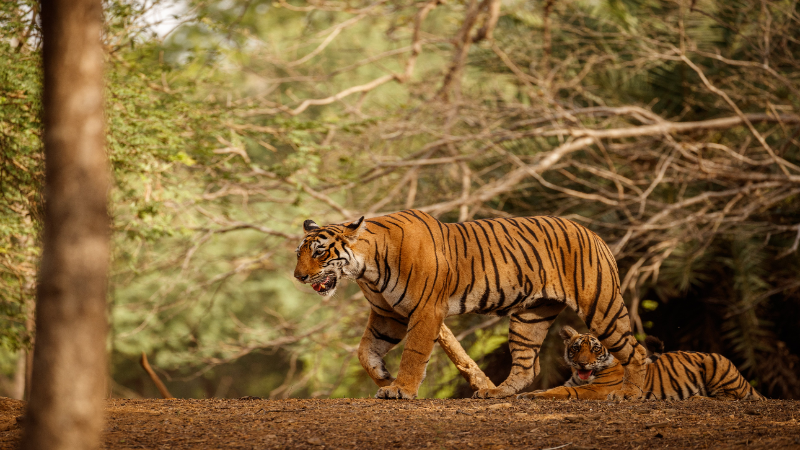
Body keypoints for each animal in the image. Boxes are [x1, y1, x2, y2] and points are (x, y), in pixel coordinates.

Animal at [293, 209, 648, 400]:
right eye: (299, 253)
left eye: (319, 252)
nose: (298, 276)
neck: (366, 268)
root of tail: (592, 232)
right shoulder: (386, 315)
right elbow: (365, 351)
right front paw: (383, 377)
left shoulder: (425, 311)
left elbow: (414, 353)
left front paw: (401, 389)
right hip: (530, 317)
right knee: (527, 366)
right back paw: (497, 392)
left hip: (601, 306)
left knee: (636, 350)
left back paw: (629, 394)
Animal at [520, 326, 765, 400]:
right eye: (575, 348)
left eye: (595, 349)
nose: (581, 364)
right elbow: (553, 388)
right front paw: (530, 393)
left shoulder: (597, 389)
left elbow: (562, 391)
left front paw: (532, 395)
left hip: (717, 363)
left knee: (731, 398)